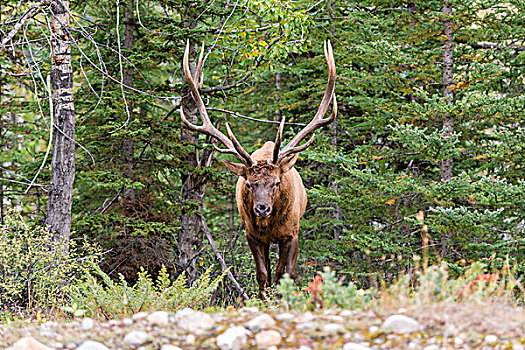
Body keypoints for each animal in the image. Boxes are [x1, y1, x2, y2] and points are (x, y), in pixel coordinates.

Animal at [180, 40, 336, 298]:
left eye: (277, 182)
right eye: (249, 184)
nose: (262, 208)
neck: (269, 225)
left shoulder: (292, 232)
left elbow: (287, 274)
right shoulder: (252, 235)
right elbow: (262, 275)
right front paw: (264, 300)